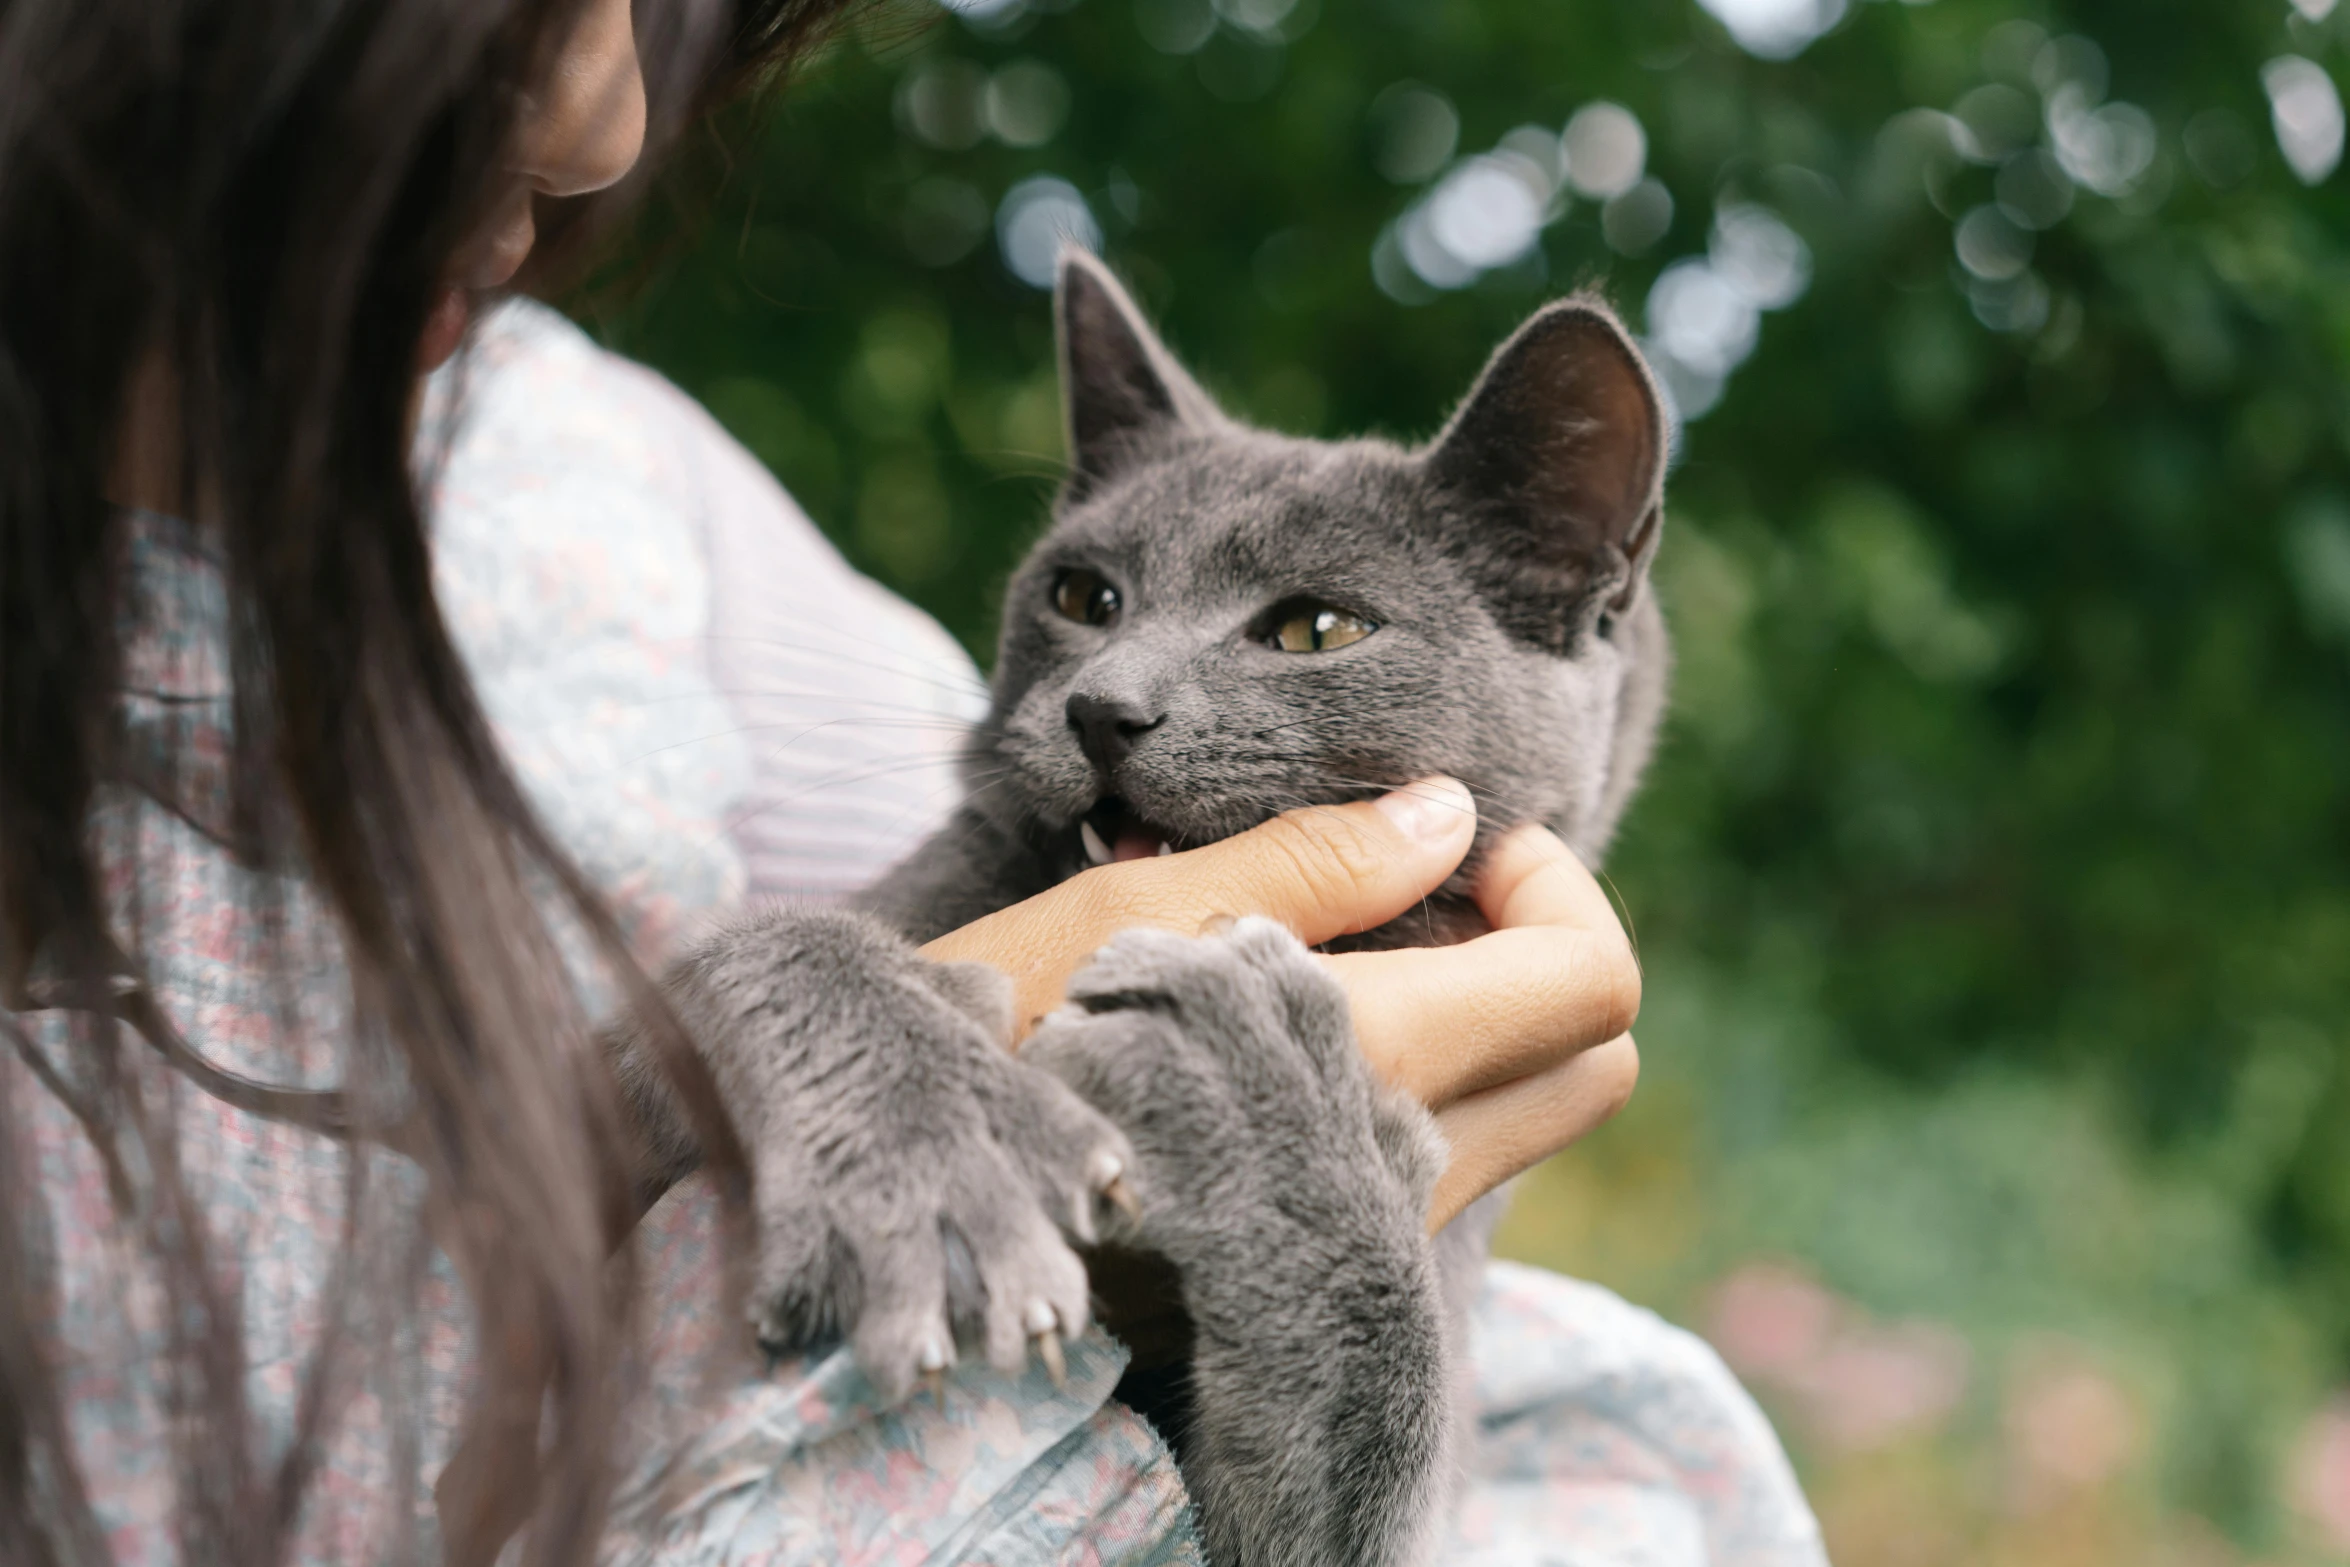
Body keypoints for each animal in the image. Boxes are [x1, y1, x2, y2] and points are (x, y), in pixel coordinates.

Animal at [606, 257, 1673, 1567]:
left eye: (1317, 628)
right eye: (1084, 595)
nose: (1101, 707)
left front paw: (1261, 1096)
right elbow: (771, 956)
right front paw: (928, 1157)